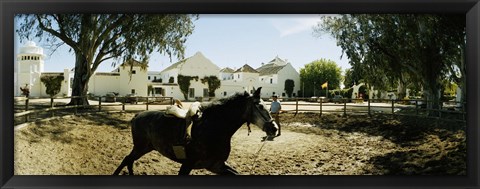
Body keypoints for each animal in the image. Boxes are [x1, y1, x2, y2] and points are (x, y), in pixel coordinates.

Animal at [113, 88, 278, 175]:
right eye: (260, 106)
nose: (274, 128)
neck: (214, 128)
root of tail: (137, 115)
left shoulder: (216, 165)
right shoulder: (188, 164)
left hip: (145, 148)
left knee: (129, 160)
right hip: (140, 147)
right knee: (127, 159)